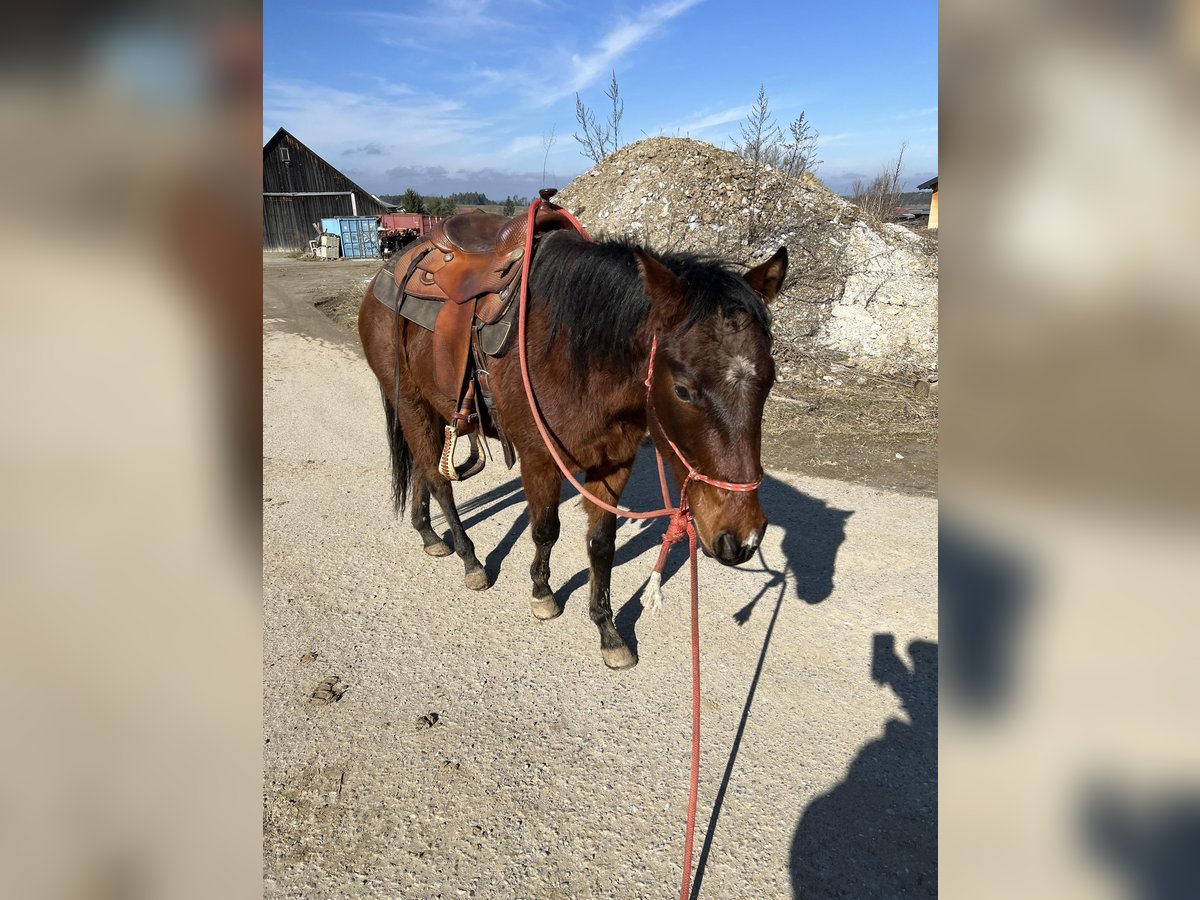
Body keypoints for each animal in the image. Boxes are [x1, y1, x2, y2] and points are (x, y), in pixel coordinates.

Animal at [355, 229, 787, 672]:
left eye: (770, 380)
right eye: (683, 389)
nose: (743, 538)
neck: (576, 356)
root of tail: (389, 270)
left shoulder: (614, 463)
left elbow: (601, 545)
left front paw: (606, 629)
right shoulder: (539, 459)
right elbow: (546, 531)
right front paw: (543, 593)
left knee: (423, 471)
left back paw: (427, 532)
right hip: (409, 401)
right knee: (440, 481)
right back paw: (470, 560)